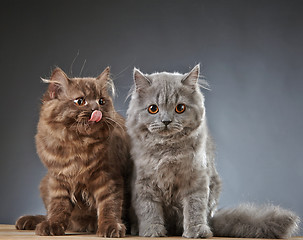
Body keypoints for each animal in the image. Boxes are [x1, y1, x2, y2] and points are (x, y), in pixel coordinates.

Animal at [15, 66, 132, 237]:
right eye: (80, 101)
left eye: (101, 101)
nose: (96, 109)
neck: (77, 145)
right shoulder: (58, 179)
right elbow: (58, 207)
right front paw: (52, 225)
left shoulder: (109, 176)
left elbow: (109, 205)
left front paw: (110, 226)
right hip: (45, 183)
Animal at [124, 64, 300, 239]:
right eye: (153, 109)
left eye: (180, 108)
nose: (166, 121)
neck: (167, 151)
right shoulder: (143, 182)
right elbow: (148, 209)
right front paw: (151, 231)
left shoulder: (196, 178)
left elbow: (195, 208)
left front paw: (196, 231)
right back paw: (136, 228)